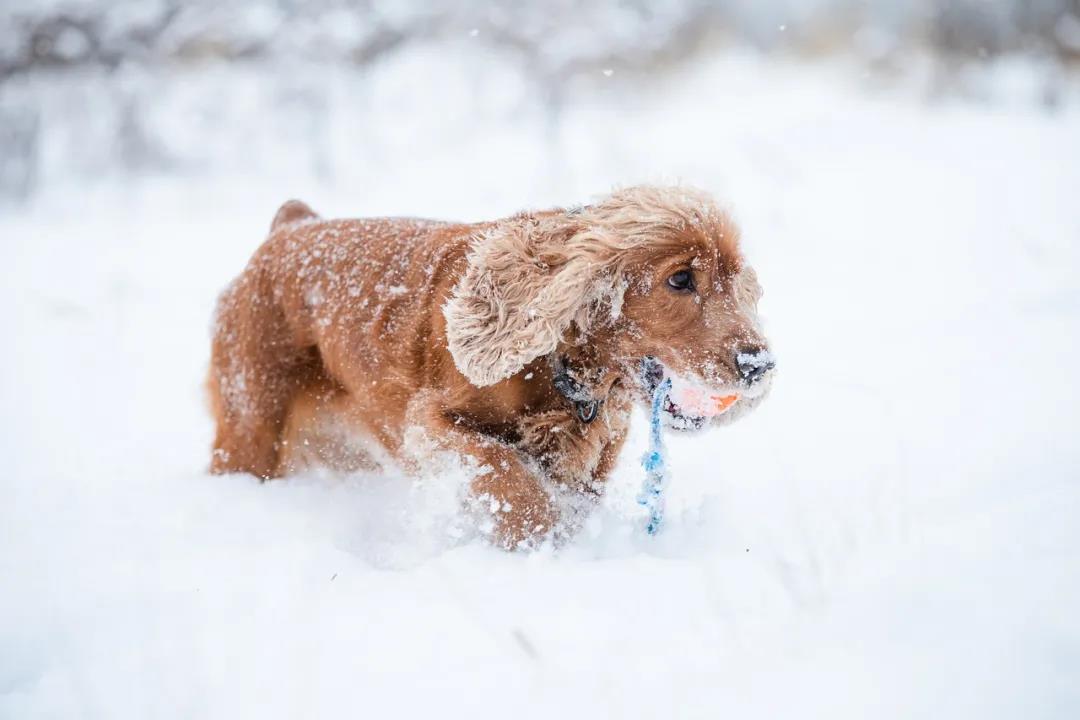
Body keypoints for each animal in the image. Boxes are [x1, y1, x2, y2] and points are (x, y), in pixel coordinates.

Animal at [206, 184, 773, 546]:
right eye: (679, 279)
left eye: (739, 281)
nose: (760, 363)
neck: (558, 366)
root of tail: (291, 226)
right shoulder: (430, 421)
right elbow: (504, 469)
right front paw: (531, 536)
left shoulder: (595, 458)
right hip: (251, 423)